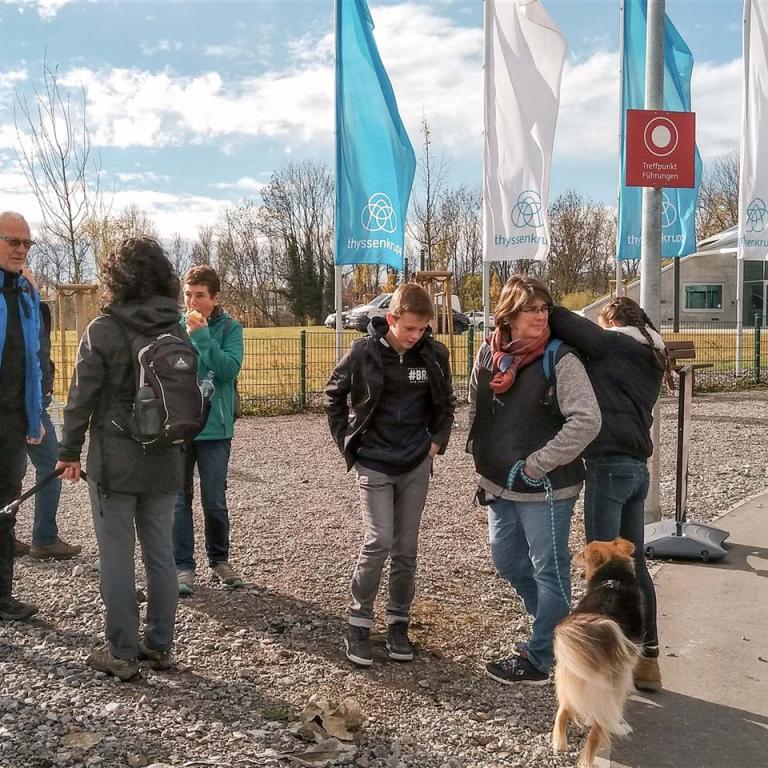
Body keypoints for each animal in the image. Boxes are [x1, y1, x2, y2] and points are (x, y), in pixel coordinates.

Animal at [552, 538, 644, 768]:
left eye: (583, 554)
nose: (570, 555)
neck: (612, 578)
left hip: (569, 673)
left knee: (563, 711)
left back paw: (559, 744)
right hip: (613, 684)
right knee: (597, 731)